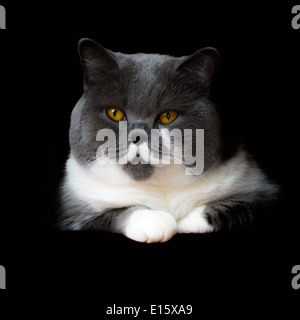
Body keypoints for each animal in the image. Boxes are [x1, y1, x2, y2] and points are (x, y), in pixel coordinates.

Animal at [58, 37, 278, 242]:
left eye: (168, 116)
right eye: (115, 113)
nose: (138, 135)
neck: (160, 190)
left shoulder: (264, 192)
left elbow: (243, 205)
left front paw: (186, 223)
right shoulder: (71, 213)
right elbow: (109, 214)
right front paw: (153, 221)